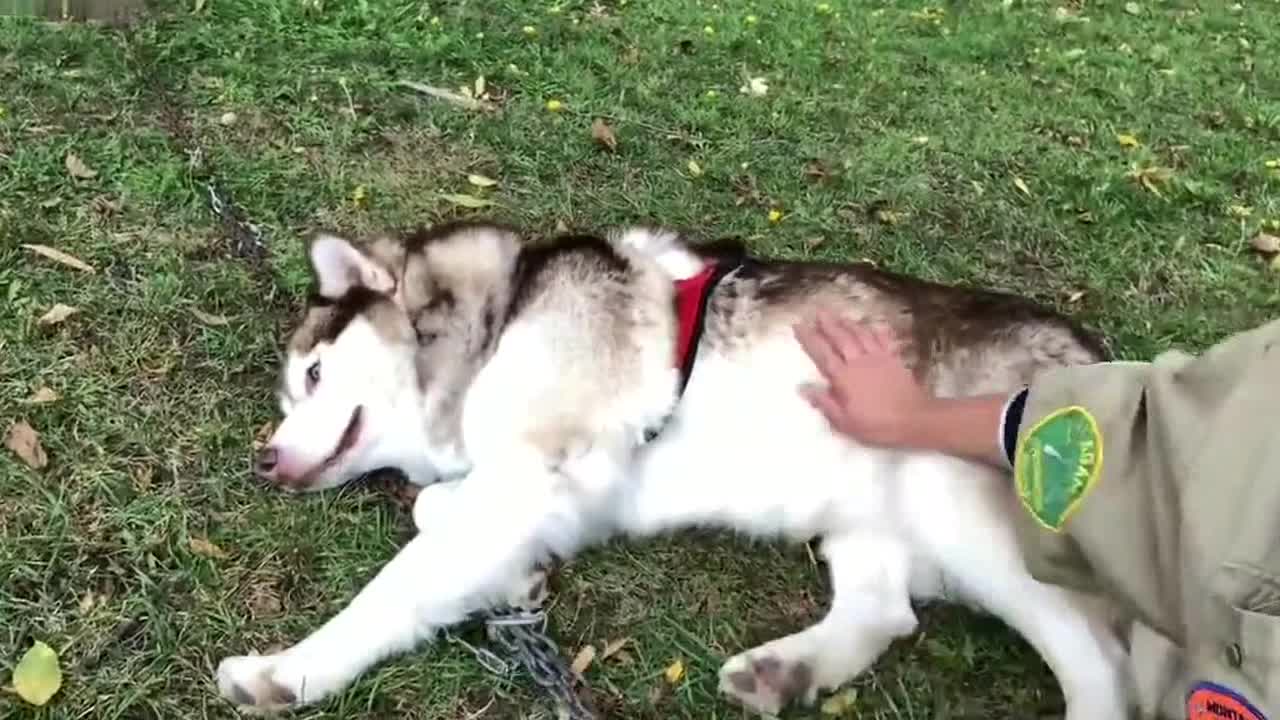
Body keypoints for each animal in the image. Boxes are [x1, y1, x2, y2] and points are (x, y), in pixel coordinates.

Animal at [217, 221, 1131, 712]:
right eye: (293, 390)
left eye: (312, 376)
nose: (264, 457)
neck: (495, 326)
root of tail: (1100, 356)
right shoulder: (561, 489)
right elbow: (440, 514)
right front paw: (514, 573)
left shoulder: (535, 470)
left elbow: (398, 585)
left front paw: (288, 671)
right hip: (866, 508)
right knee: (886, 612)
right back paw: (785, 671)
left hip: (960, 491)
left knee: (1103, 669)